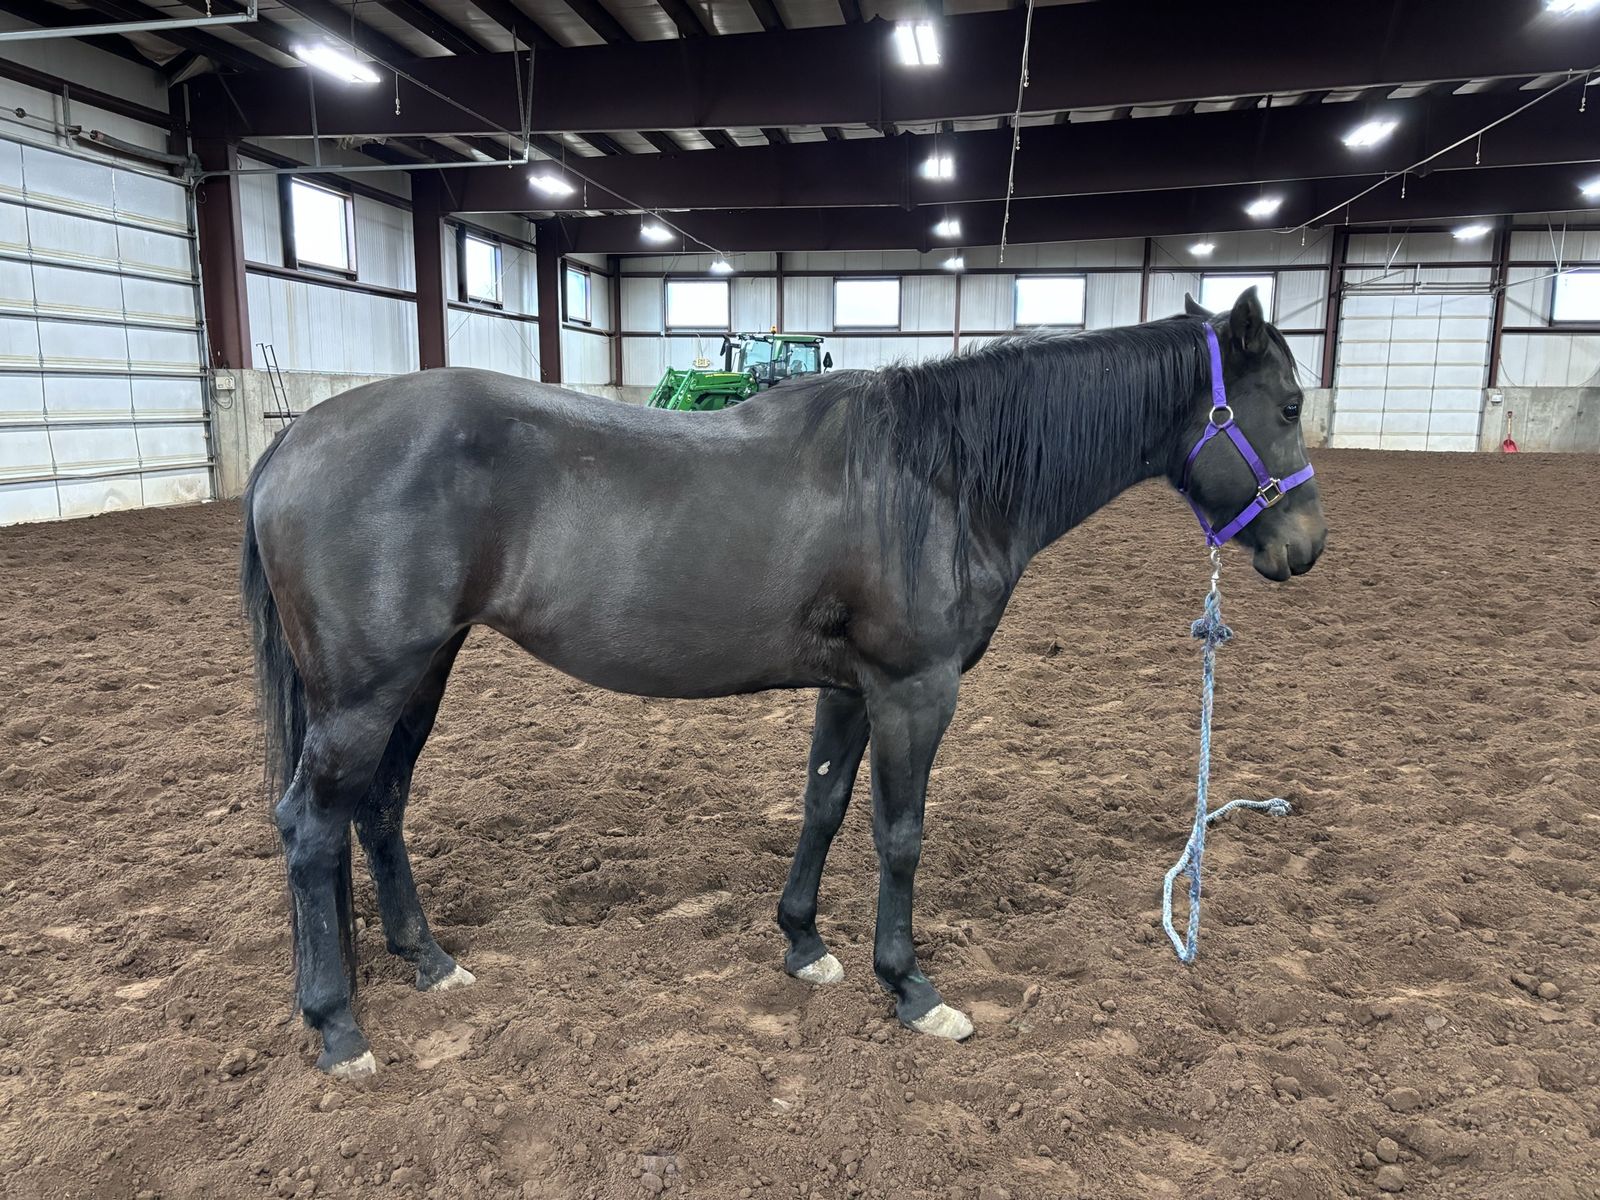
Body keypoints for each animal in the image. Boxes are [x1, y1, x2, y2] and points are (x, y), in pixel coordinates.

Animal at [240, 287, 1326, 1079]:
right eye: (1284, 405)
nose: (1305, 547)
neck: (937, 476)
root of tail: (297, 437)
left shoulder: (851, 688)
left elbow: (824, 806)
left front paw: (804, 944)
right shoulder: (915, 688)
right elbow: (899, 834)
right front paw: (911, 988)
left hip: (419, 673)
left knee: (378, 806)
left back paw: (428, 963)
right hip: (364, 693)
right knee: (310, 824)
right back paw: (338, 1026)